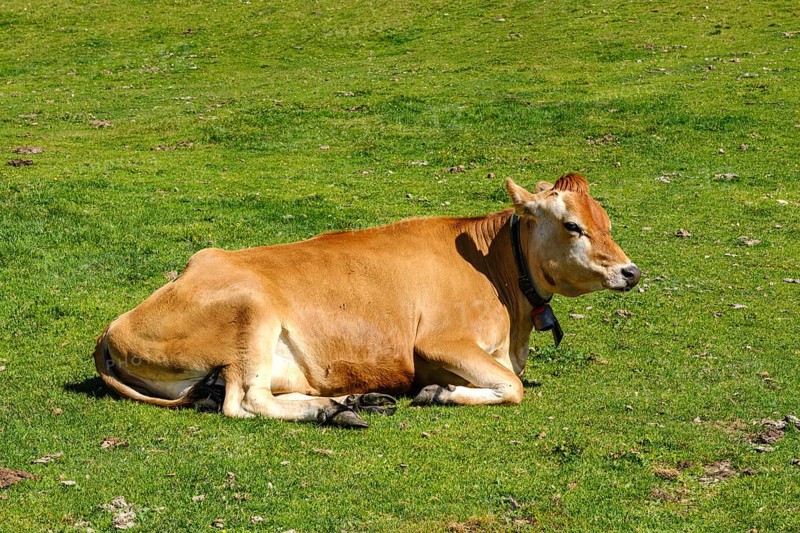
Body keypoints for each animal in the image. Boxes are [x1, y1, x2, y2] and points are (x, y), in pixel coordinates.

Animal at [94, 173, 639, 428]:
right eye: (572, 225)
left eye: (606, 221)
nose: (631, 271)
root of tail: (112, 327)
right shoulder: (438, 344)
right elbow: (512, 386)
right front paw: (440, 393)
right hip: (251, 313)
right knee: (245, 402)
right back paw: (333, 412)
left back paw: (352, 401)